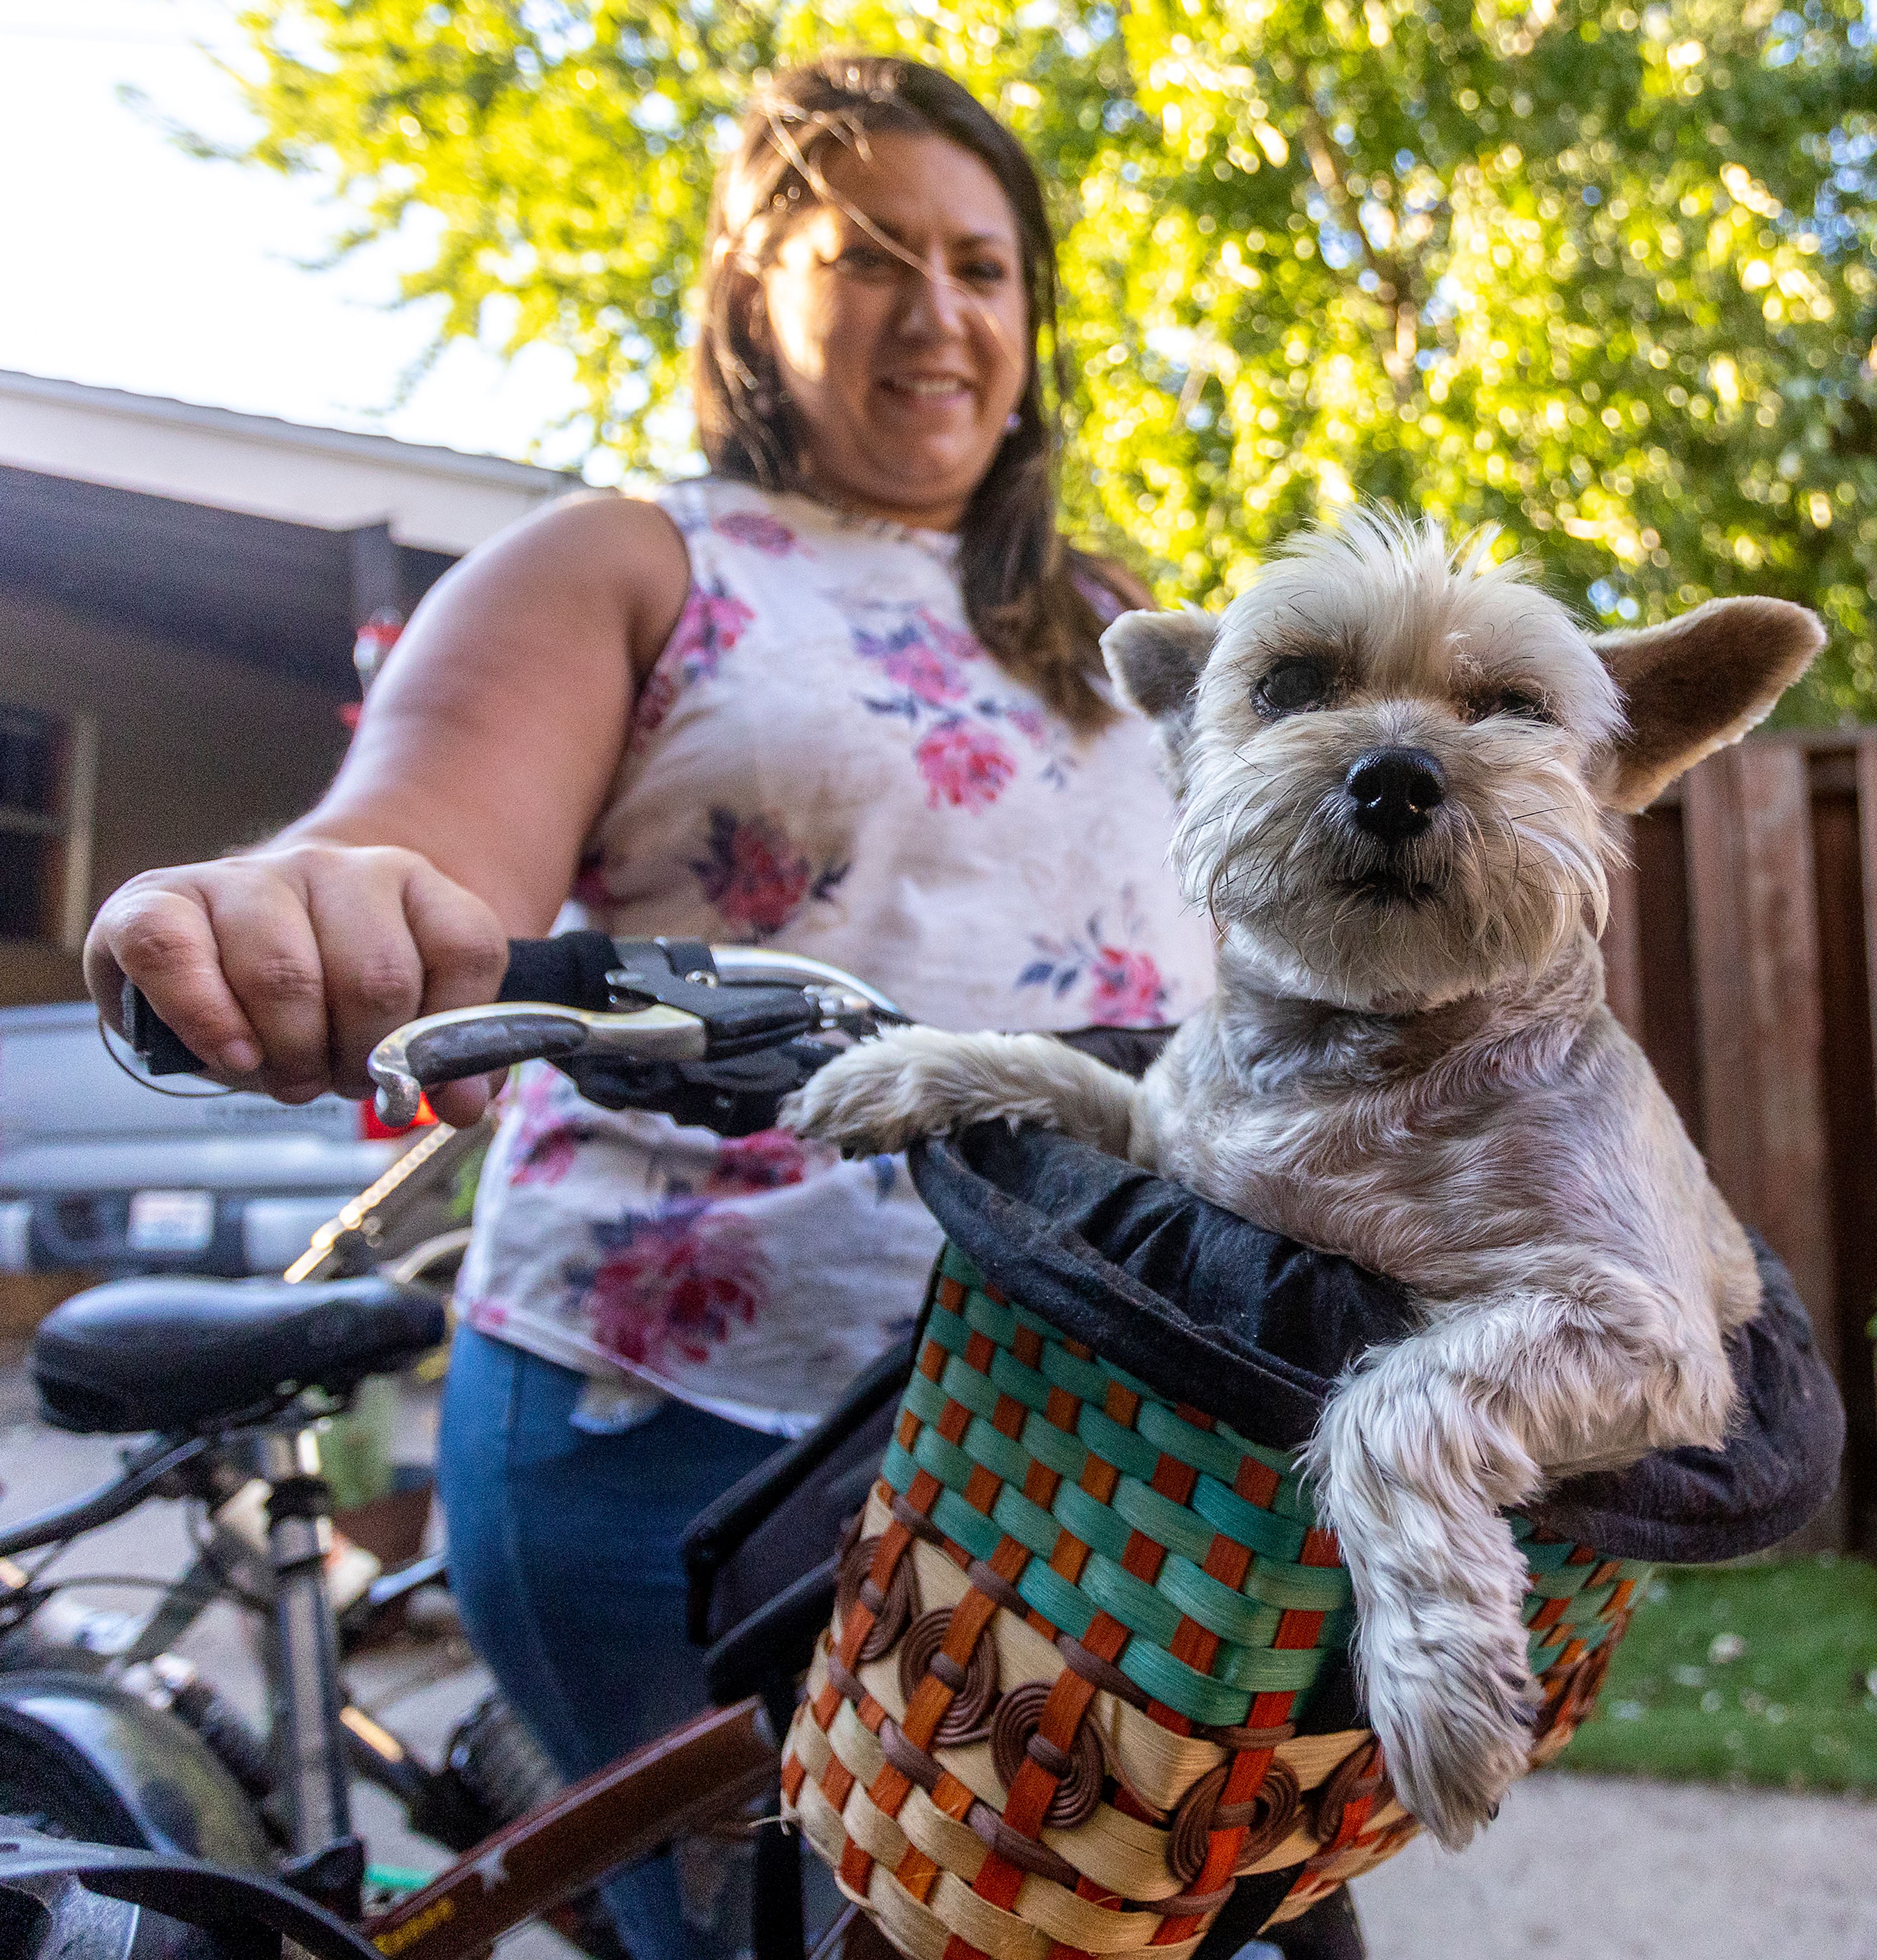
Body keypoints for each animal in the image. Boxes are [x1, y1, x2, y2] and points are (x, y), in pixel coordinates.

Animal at [787, 509, 1826, 1850]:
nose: (1396, 774)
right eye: (1288, 686)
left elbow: (1388, 1402)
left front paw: (1440, 1686)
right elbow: (1072, 1076)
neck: (1357, 1047)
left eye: (1517, 707)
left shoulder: (1640, 1328)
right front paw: (895, 1065)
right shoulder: (1168, 1138)